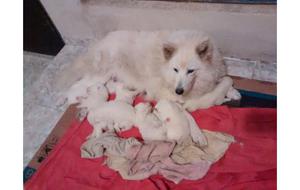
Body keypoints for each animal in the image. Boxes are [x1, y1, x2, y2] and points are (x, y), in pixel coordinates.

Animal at [58, 30, 240, 111]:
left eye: (190, 71)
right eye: (175, 70)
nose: (179, 91)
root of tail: (101, 41)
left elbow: (225, 80)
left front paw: (234, 92)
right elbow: (216, 88)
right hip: (100, 75)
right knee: (77, 84)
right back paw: (63, 99)